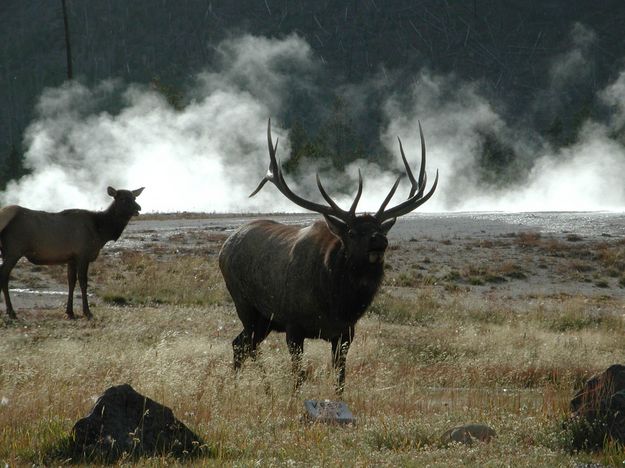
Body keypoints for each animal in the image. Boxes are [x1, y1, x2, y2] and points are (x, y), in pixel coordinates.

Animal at [0, 186, 143, 318]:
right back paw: (11, 312)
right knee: (4, 275)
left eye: (134, 197)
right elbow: (83, 282)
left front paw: (70, 312)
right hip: (14, 251)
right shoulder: (83, 255)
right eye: (123, 199)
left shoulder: (71, 258)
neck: (101, 232)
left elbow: (71, 282)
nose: (139, 208)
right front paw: (87, 312)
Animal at [219, 119, 438, 392]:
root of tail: (224, 247)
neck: (337, 302)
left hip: (264, 320)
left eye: (379, 229)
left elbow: (341, 377)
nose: (380, 241)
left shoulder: (345, 333)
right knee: (246, 346)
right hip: (246, 304)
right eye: (352, 232)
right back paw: (259, 388)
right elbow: (299, 375)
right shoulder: (293, 325)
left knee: (240, 344)